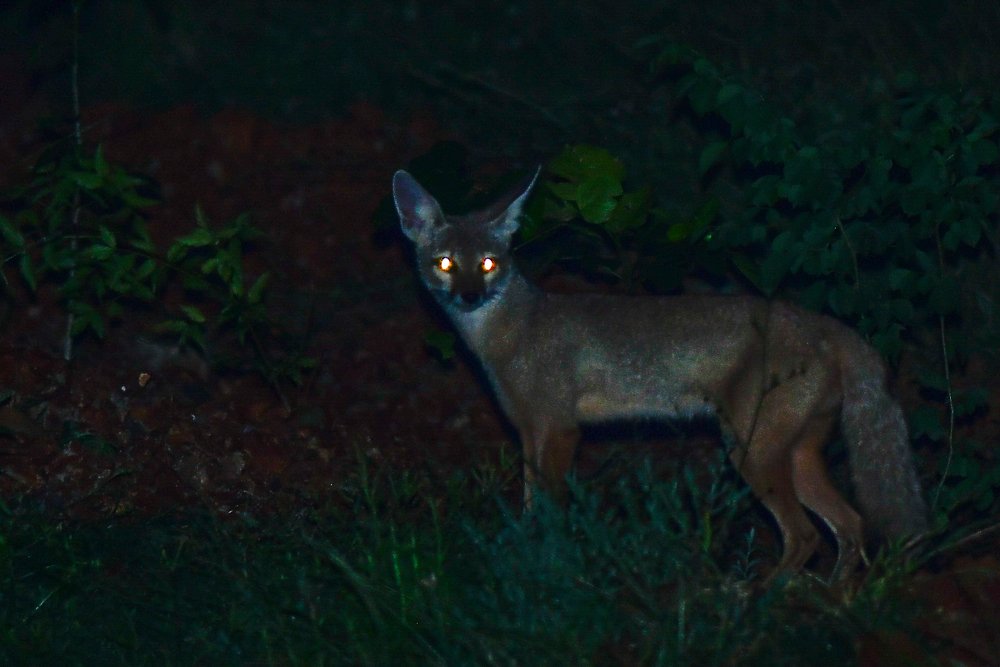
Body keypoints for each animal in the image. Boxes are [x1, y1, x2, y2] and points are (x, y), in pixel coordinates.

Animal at [392, 167, 928, 582]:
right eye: (445, 263)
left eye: (488, 263)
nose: (467, 297)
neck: (511, 334)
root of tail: (827, 324)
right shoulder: (528, 434)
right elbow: (529, 506)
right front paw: (523, 556)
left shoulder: (561, 431)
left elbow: (551, 510)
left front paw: (550, 562)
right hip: (793, 457)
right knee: (851, 526)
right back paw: (835, 605)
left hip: (751, 453)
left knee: (805, 537)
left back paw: (754, 599)